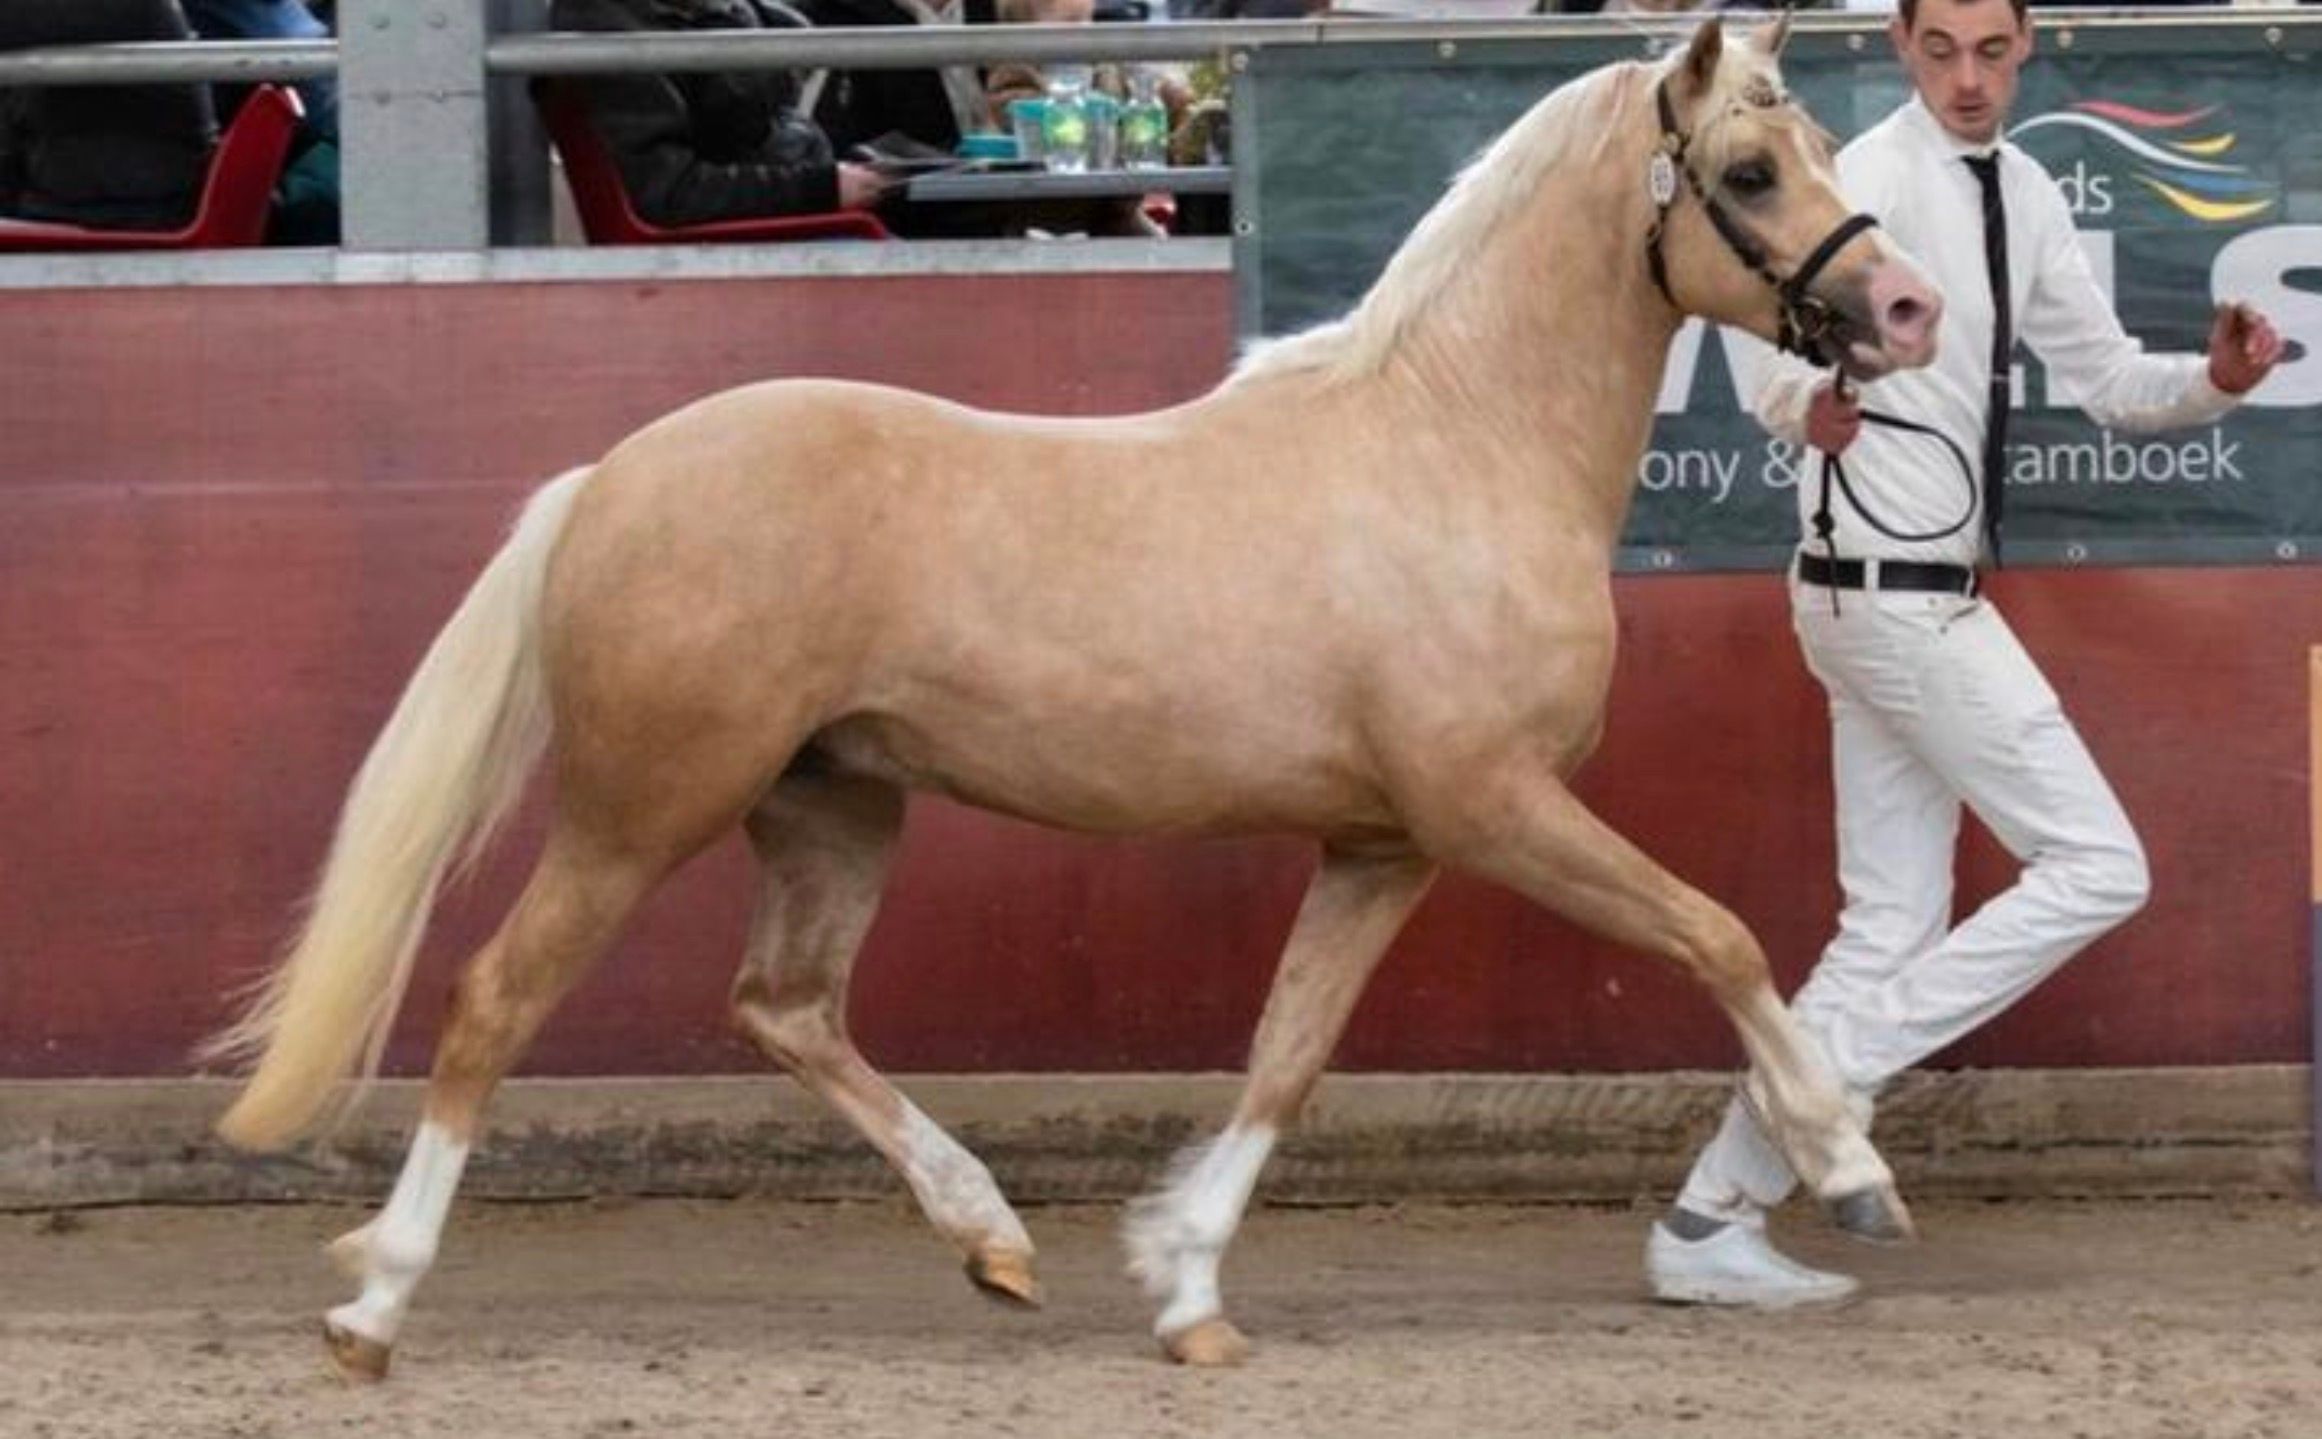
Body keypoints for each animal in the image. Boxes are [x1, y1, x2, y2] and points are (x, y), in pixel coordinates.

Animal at [206, 16, 1942, 1381]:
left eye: (1821, 144)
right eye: (1746, 173)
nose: (1908, 311)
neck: (1455, 445)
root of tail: (608, 479)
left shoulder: (1383, 842)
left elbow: (1286, 1053)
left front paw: (1184, 1289)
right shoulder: (1492, 806)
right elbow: (1718, 934)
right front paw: (1854, 1168)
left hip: (834, 803)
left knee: (788, 1004)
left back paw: (992, 1236)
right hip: (644, 808)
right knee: (496, 998)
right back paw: (374, 1306)